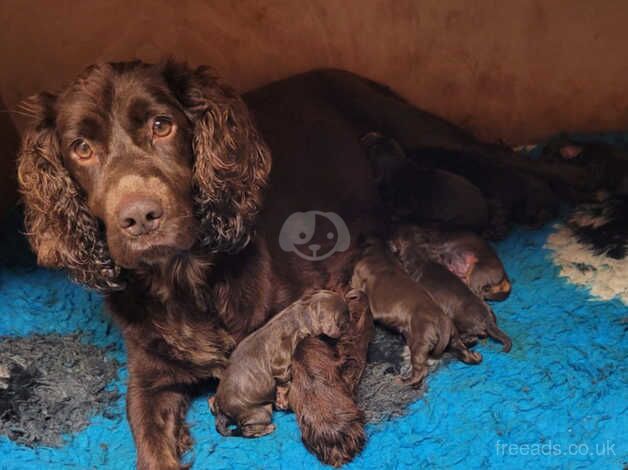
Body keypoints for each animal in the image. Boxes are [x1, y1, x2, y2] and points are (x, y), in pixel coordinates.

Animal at [210, 290, 348, 436]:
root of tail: (222, 411)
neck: (300, 313)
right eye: (346, 317)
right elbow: (284, 382)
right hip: (260, 411)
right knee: (247, 430)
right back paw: (269, 428)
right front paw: (282, 401)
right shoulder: (281, 363)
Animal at [348, 237, 480, 388]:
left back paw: (403, 381)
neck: (381, 253)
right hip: (453, 338)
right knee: (464, 352)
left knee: (420, 371)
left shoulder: (357, 277)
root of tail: (443, 320)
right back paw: (475, 354)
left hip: (418, 344)